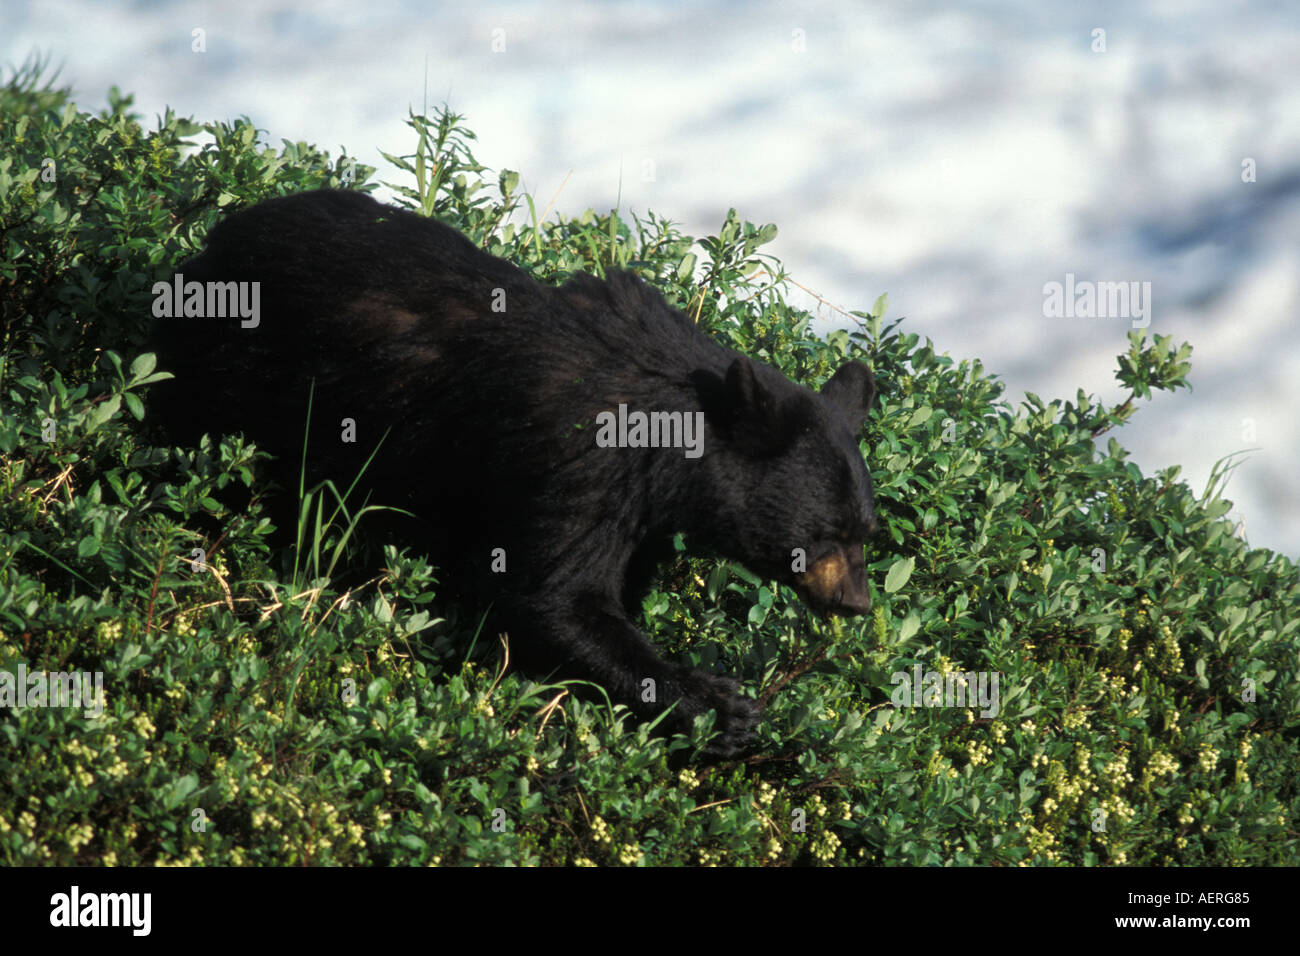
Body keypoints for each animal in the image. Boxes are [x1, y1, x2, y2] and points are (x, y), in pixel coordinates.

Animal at [149, 188, 883, 754]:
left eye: (865, 532)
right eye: (823, 533)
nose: (856, 602)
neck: (670, 441)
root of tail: (212, 242)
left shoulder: (637, 509)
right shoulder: (578, 462)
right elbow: (549, 597)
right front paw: (713, 704)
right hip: (234, 382)